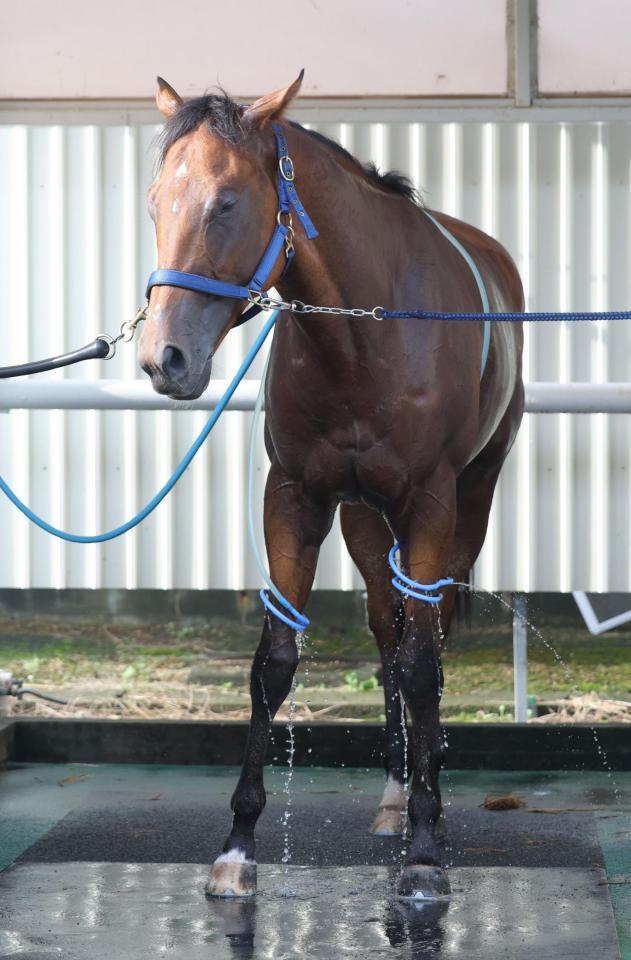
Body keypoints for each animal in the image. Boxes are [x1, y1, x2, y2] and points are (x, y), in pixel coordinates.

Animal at [138, 71, 524, 901]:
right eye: (156, 200)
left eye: (226, 202)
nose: (164, 359)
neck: (363, 333)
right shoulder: (295, 499)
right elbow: (275, 662)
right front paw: (238, 847)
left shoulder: (431, 504)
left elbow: (422, 665)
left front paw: (424, 852)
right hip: (364, 520)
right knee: (385, 628)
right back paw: (394, 794)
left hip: (469, 502)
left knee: (429, 632)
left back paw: (425, 798)